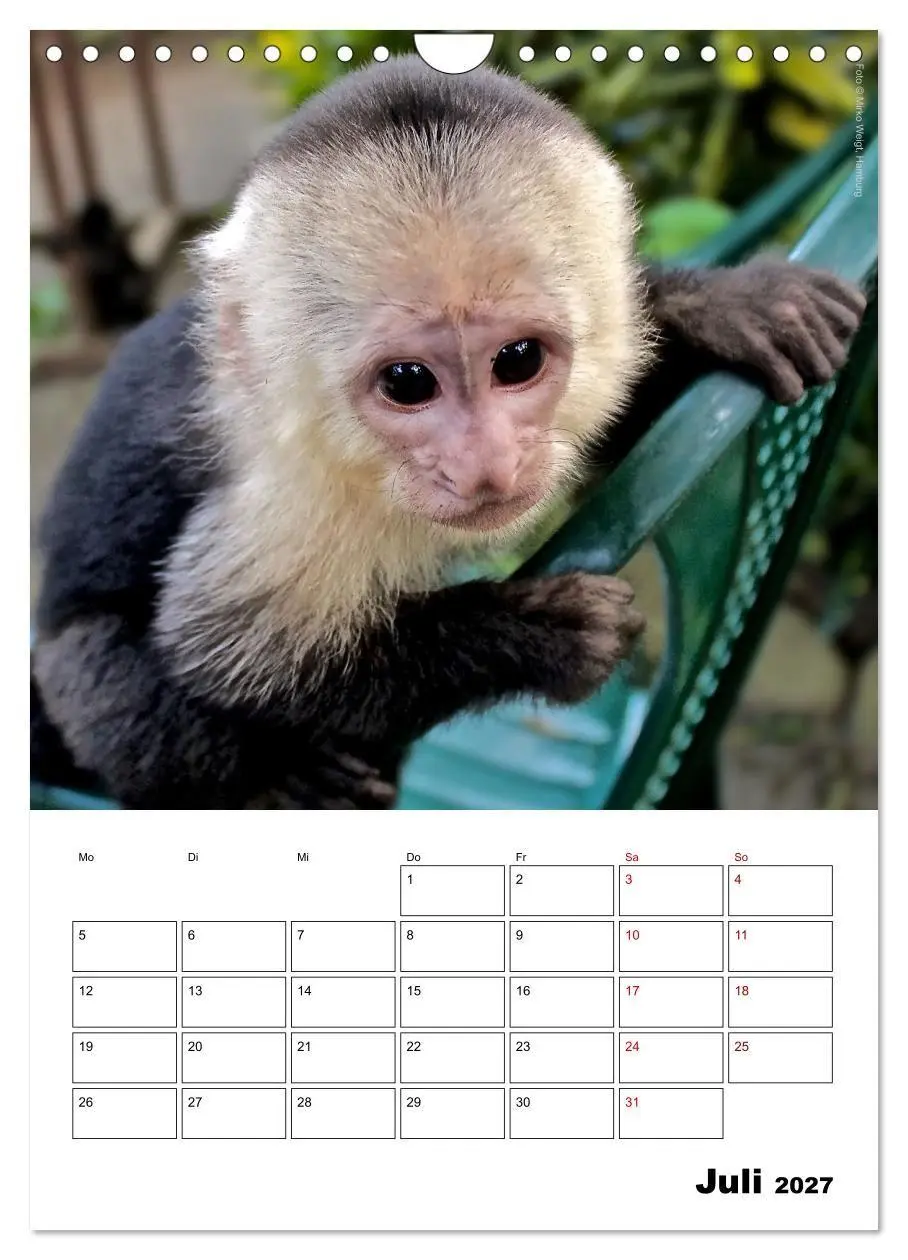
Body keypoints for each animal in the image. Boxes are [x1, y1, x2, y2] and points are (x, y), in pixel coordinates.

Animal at [30, 57, 867, 809]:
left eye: (518, 360)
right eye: (408, 383)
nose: (487, 466)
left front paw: (721, 310)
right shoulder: (291, 488)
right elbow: (234, 654)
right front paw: (532, 639)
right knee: (95, 675)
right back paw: (282, 778)